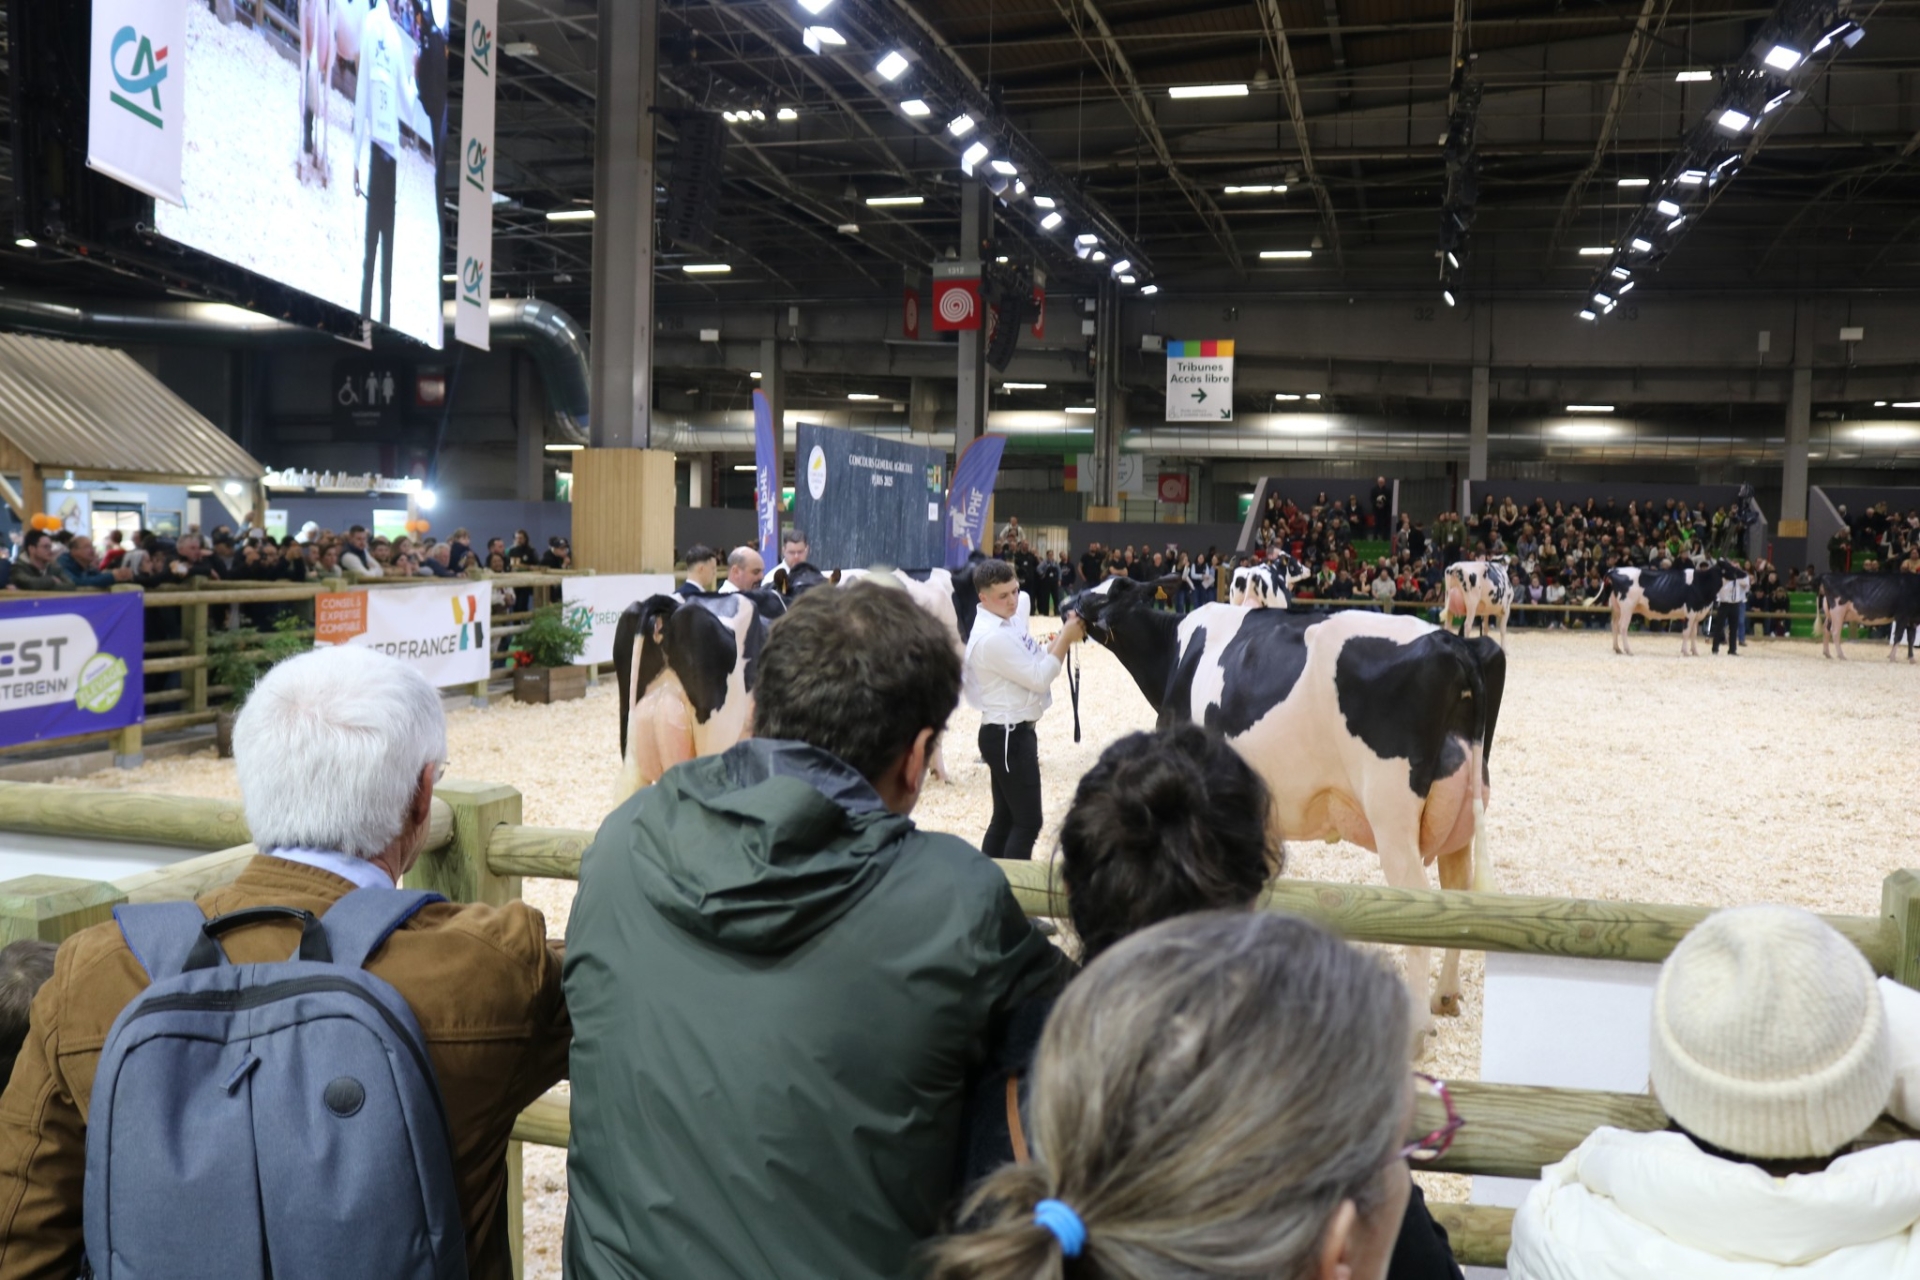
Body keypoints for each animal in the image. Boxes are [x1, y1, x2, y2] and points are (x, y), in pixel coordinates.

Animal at [151, 0, 447, 347]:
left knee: (310, 80)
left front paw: (315, 152)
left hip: (315, 34)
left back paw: (308, 155)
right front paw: (321, 157)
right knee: (319, 80)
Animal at [1067, 579, 1497, 1020]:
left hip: (1391, 813)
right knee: (1459, 894)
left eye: (1104, 592)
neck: (1177, 651)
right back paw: (1445, 995)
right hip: (1461, 811)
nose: (1069, 599)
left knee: (1419, 900)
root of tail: (1453, 642)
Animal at [1589, 564, 1743, 660]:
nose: (1744, 573)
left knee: (1614, 626)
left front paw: (1695, 652)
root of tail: (1614, 570)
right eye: (1731, 567)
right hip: (1627, 607)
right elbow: (1686, 633)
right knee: (1622, 627)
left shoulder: (1696, 615)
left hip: (1616, 608)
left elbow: (1693, 634)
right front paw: (1685, 652)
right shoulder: (1690, 612)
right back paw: (1628, 650)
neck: (1701, 584)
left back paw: (1617, 649)